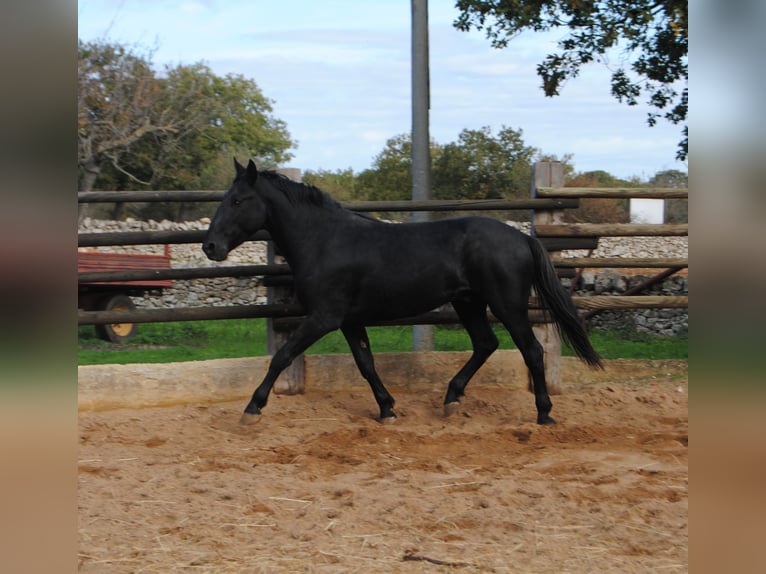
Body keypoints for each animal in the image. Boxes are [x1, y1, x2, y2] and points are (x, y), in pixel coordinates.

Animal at [206, 160, 608, 426]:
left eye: (238, 200)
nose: (210, 247)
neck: (324, 241)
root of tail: (522, 238)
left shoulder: (323, 318)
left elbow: (282, 356)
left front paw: (252, 408)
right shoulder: (349, 321)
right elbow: (366, 364)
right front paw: (387, 409)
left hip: (507, 305)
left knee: (532, 351)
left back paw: (544, 413)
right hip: (468, 303)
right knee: (485, 344)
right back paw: (451, 399)